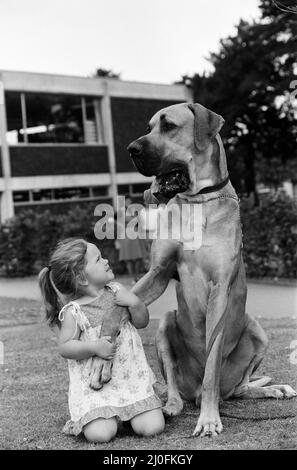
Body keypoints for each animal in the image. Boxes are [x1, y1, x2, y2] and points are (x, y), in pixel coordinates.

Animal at [126, 102, 294, 436]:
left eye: (168, 125)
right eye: (149, 127)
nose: (131, 149)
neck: (197, 202)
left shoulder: (219, 289)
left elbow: (212, 367)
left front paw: (208, 419)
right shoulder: (158, 273)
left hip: (258, 332)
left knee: (239, 387)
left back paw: (271, 389)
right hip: (166, 323)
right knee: (174, 384)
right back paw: (171, 405)